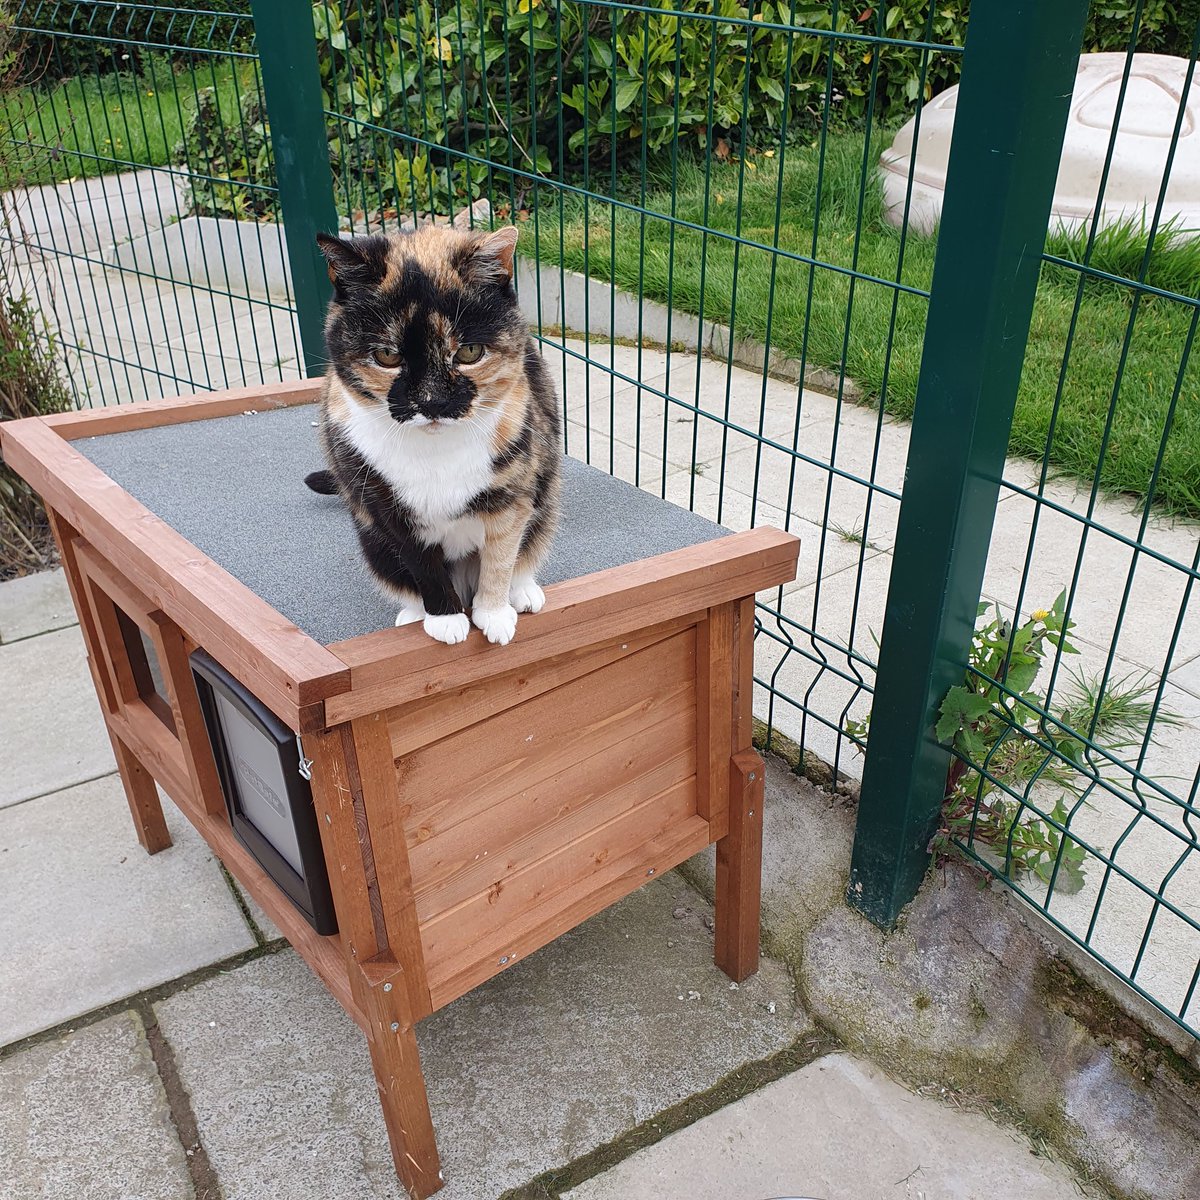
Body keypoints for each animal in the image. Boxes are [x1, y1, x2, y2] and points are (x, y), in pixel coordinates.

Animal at [302, 220, 559, 643]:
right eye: (387, 356)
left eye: (469, 352)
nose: (432, 401)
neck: (437, 454)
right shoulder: (386, 508)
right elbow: (422, 565)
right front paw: (445, 619)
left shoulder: (512, 495)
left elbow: (501, 555)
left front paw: (494, 613)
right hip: (372, 544)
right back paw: (414, 613)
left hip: (547, 499)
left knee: (527, 547)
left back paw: (522, 591)